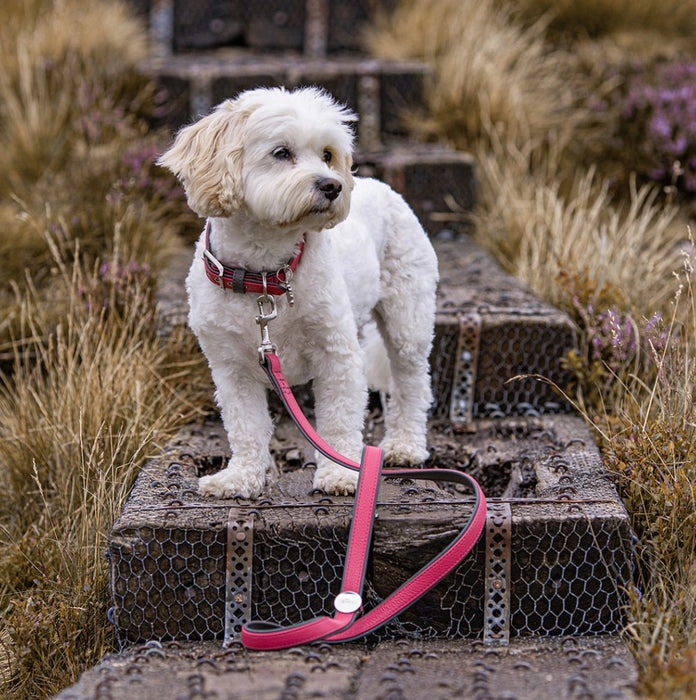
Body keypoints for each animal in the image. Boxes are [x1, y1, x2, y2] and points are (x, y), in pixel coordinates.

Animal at [160, 87, 438, 500]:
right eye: (281, 153)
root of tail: (380, 185)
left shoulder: (337, 356)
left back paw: (405, 445)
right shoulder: (230, 368)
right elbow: (245, 427)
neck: (265, 276)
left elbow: (338, 421)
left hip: (408, 319)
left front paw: (340, 474)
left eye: (327, 155)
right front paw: (241, 477)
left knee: (411, 381)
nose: (333, 185)